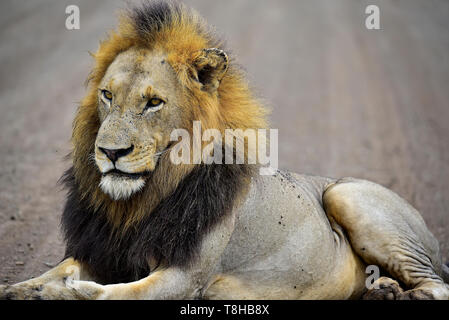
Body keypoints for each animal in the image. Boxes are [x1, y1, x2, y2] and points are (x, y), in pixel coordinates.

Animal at [1, 0, 446, 300]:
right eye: (108, 95)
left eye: (153, 102)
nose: (110, 153)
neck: (142, 202)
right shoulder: (105, 249)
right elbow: (59, 268)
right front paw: (23, 286)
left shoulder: (184, 277)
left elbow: (110, 293)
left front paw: (64, 291)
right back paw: (382, 289)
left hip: (346, 193)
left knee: (438, 284)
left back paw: (402, 292)